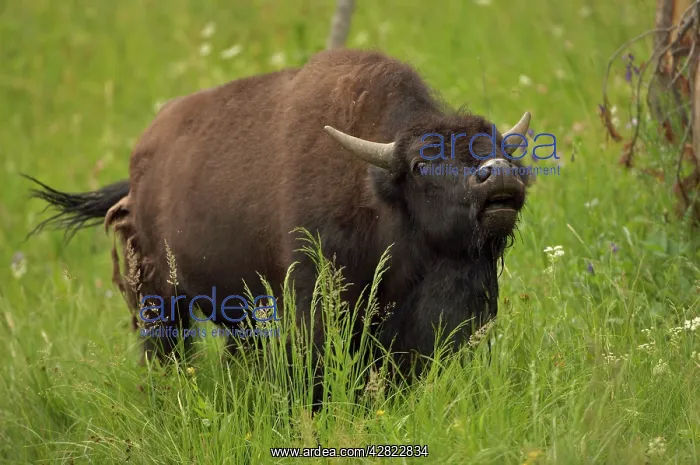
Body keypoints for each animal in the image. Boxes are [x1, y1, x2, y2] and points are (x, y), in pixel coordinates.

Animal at [26, 48, 530, 380]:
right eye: (422, 165)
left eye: (503, 150)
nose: (499, 176)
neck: (379, 195)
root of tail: (136, 172)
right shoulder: (315, 299)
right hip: (159, 300)